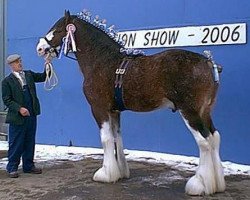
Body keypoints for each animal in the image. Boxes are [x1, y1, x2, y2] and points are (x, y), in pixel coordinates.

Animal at [36, 9, 226, 195]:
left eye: (57, 30)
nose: (40, 48)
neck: (102, 61)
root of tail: (208, 62)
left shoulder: (99, 109)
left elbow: (106, 139)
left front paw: (105, 174)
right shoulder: (114, 111)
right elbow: (117, 137)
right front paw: (119, 172)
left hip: (189, 112)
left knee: (204, 142)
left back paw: (199, 185)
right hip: (205, 111)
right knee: (214, 137)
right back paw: (216, 185)